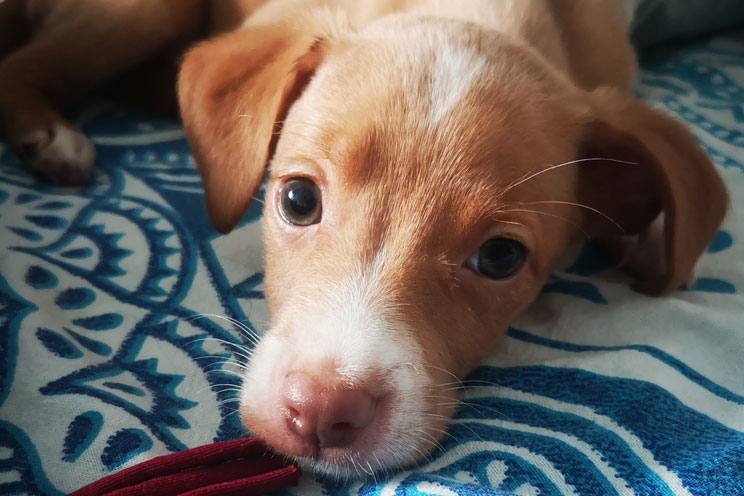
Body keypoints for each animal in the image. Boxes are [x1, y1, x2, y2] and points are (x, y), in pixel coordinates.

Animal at [0, 0, 728, 478]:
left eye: (500, 257)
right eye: (297, 199)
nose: (323, 413)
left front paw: (645, 241)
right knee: (24, 62)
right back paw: (50, 135)